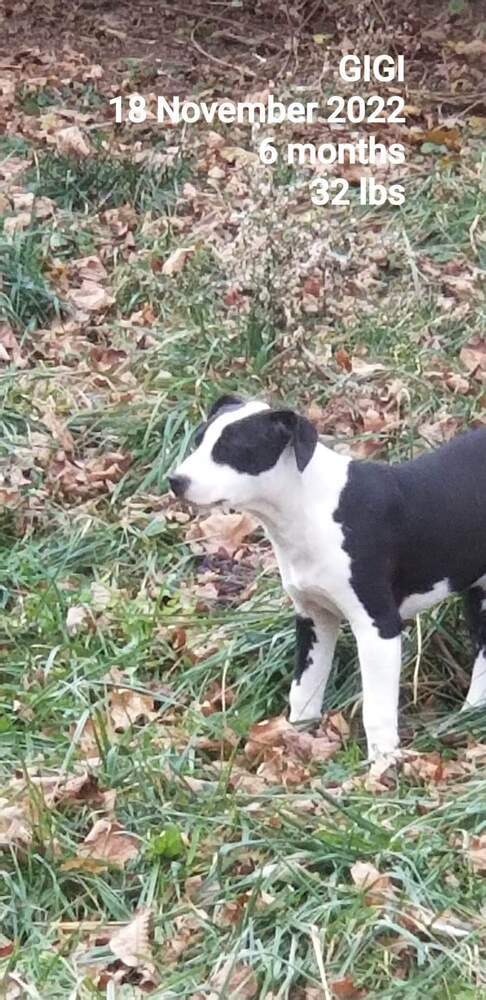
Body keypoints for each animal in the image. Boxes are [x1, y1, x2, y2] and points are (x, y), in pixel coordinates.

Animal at [169, 394, 486, 760]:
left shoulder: (378, 627)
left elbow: (376, 709)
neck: (309, 508)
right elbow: (304, 688)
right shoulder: (313, 617)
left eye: (231, 449)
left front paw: (382, 764)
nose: (175, 480)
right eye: (198, 440)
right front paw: (297, 737)